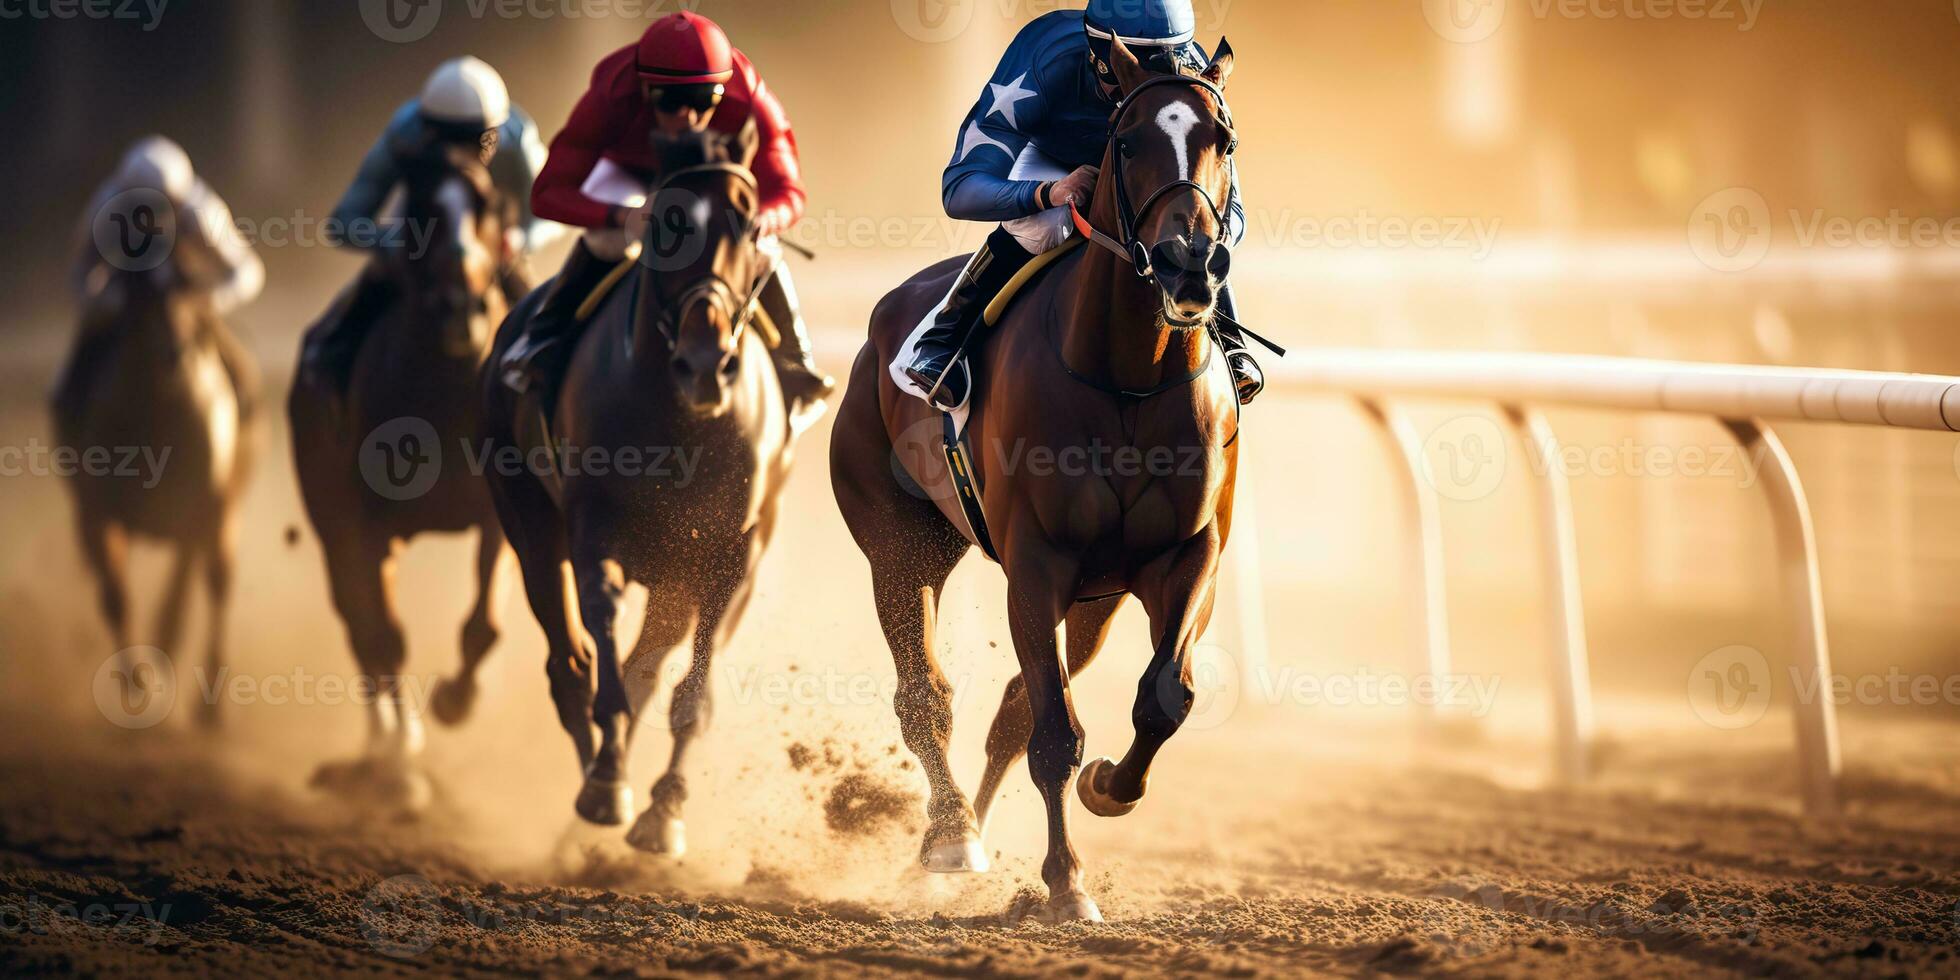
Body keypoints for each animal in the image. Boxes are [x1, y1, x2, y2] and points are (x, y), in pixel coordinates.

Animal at [56, 264, 260, 725]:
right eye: (143, 297)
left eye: (191, 294)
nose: (176, 354)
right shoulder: (95, 516)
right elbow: (115, 595)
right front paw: (138, 687)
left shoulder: (208, 511)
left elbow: (203, 587)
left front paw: (207, 705)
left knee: (202, 585)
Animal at [290, 145, 517, 803]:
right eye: (419, 209)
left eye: (488, 206)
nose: (461, 308)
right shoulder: (363, 526)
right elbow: (384, 634)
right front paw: (399, 760)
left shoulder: (497, 513)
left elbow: (484, 623)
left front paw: (455, 700)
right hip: (334, 525)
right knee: (360, 626)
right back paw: (381, 747)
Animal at [484, 126, 795, 854]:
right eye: (664, 224)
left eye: (749, 223)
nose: (706, 364)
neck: (684, 422)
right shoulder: (594, 530)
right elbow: (601, 641)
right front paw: (608, 783)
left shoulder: (730, 557)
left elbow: (689, 691)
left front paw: (665, 810)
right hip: (529, 525)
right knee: (569, 664)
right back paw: (591, 781)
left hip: (675, 575)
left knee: (643, 669)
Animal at [831, 42, 1238, 921]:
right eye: (1127, 141)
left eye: (1222, 140)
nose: (1189, 263)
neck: (1127, 377)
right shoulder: (1037, 563)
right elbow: (1055, 734)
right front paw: (1066, 883)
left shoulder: (1187, 554)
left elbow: (1163, 696)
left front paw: (1111, 787)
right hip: (900, 545)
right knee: (927, 696)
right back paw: (951, 835)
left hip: (1098, 599)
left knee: (1012, 707)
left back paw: (960, 838)